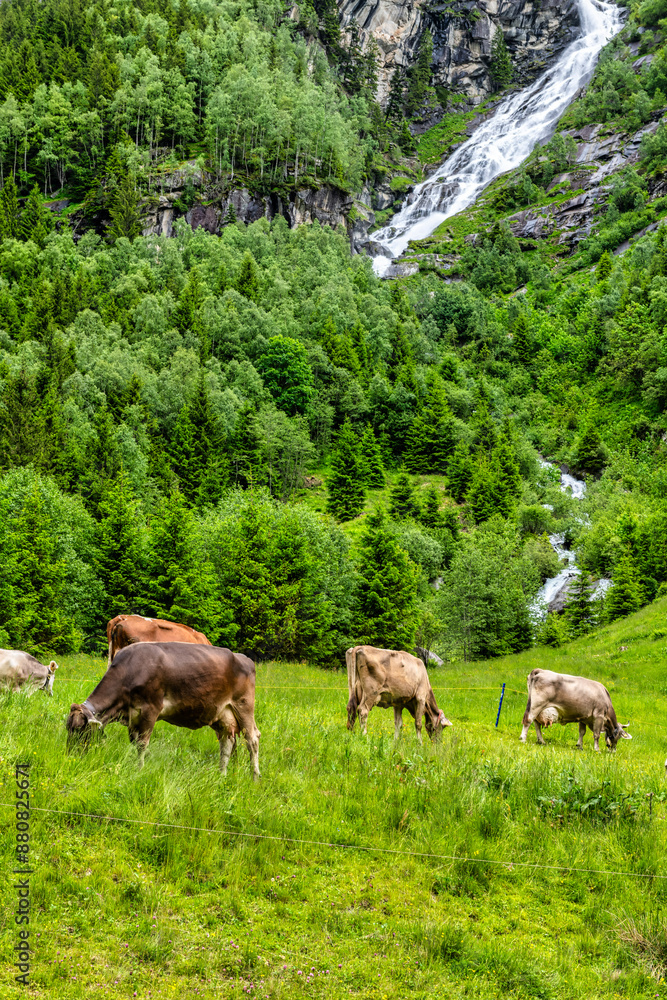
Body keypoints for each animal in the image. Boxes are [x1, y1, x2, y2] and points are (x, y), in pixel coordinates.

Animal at [66, 642, 260, 778]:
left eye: (79, 728)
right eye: (68, 728)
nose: (70, 756)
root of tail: (244, 658)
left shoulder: (150, 710)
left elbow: (142, 744)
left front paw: (140, 769)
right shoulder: (132, 717)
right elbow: (134, 742)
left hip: (243, 705)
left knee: (252, 739)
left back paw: (255, 777)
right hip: (221, 714)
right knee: (227, 742)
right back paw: (221, 775)